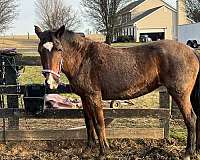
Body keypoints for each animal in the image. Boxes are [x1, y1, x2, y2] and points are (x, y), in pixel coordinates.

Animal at [35, 25, 200, 160]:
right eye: (40, 50)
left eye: (59, 49)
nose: (50, 81)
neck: (83, 58)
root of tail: (192, 51)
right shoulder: (84, 97)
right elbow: (89, 123)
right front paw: (88, 150)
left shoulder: (94, 97)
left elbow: (99, 123)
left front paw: (103, 152)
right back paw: (195, 150)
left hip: (180, 94)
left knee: (191, 119)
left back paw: (188, 153)